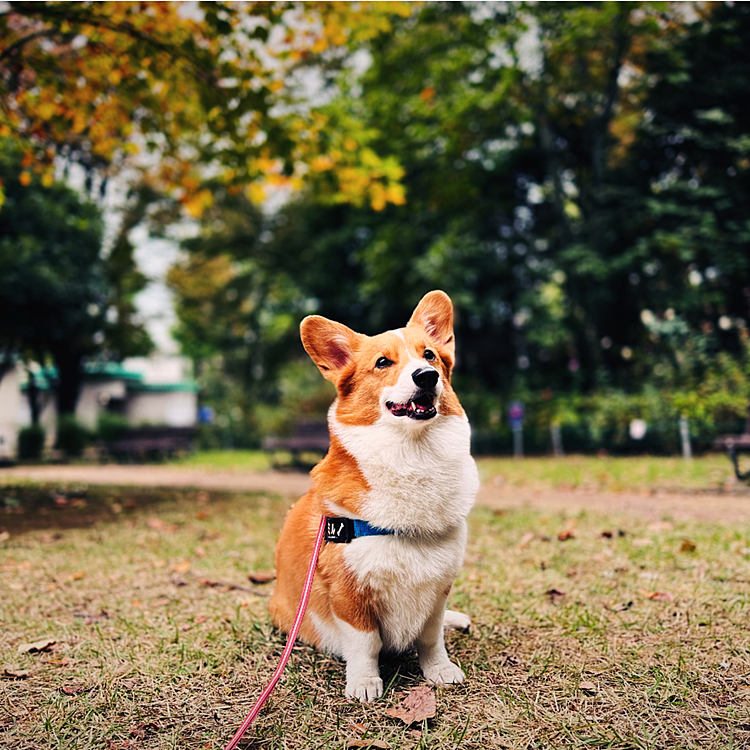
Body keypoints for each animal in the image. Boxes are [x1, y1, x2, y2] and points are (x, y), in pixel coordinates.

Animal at [272, 290, 482, 704]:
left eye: (429, 355)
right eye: (383, 362)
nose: (427, 376)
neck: (412, 456)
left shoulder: (437, 591)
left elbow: (431, 637)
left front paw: (440, 670)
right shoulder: (348, 593)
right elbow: (365, 643)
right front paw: (364, 682)